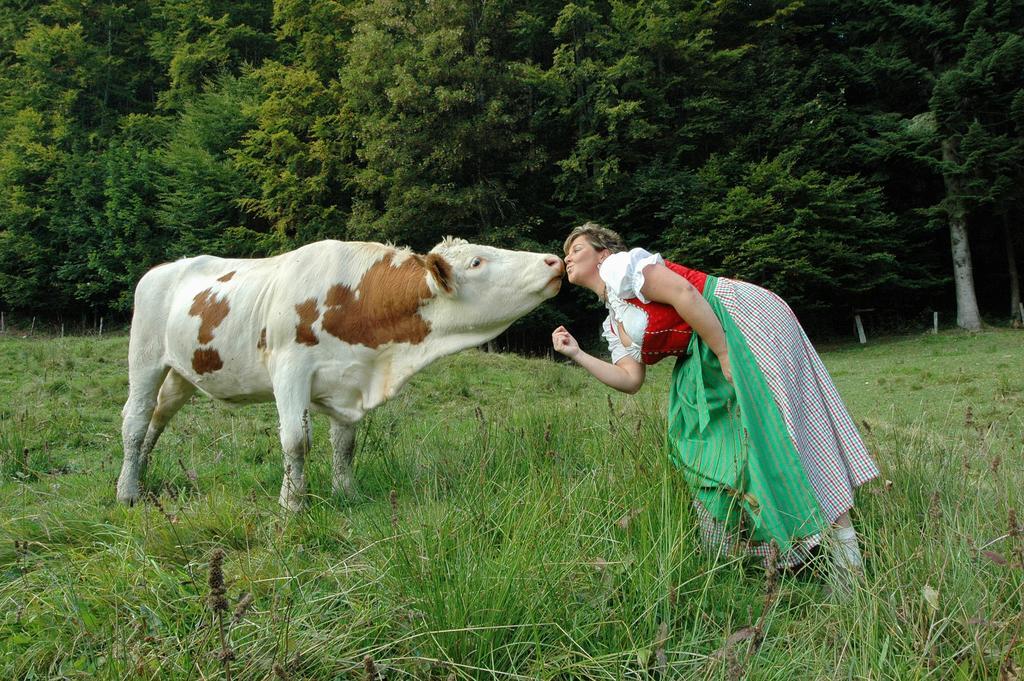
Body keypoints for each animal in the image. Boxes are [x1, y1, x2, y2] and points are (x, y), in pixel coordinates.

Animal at [120, 238, 569, 509]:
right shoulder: (290, 370)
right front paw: (292, 505)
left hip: (182, 374)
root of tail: (165, 268)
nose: (553, 260)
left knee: (157, 420)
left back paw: (141, 478)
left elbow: (345, 445)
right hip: (145, 358)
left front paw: (346, 494)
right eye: (477, 261)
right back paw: (126, 493)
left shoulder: (349, 381)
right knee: (135, 421)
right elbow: (296, 441)